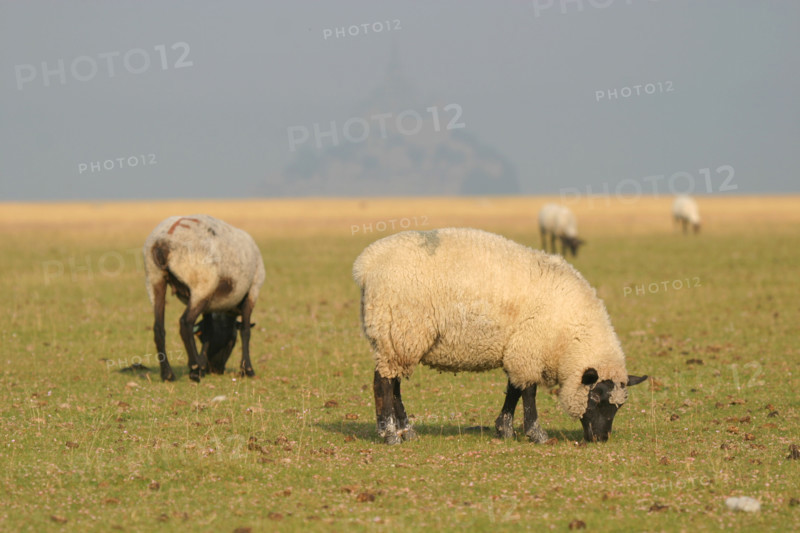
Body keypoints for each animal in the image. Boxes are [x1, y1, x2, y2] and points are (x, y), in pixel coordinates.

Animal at [143, 215, 265, 382]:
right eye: (231, 341)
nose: (216, 369)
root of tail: (163, 242)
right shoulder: (252, 291)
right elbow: (246, 331)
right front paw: (248, 369)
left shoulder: (209, 305)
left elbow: (208, 330)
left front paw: (202, 364)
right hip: (202, 285)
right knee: (185, 322)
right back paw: (194, 368)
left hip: (155, 279)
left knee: (158, 327)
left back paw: (168, 374)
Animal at [353, 228, 646, 445]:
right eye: (595, 398)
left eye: (619, 406)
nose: (600, 439)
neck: (568, 336)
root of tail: (366, 264)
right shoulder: (530, 348)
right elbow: (528, 392)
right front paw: (536, 433)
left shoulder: (518, 348)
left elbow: (514, 390)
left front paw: (504, 429)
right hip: (399, 330)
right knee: (383, 383)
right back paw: (390, 434)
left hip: (397, 337)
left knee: (394, 384)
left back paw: (407, 430)